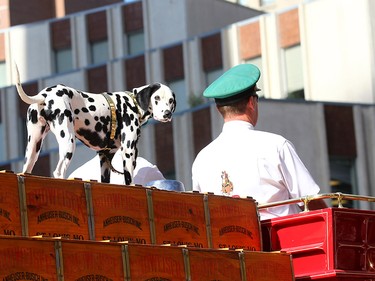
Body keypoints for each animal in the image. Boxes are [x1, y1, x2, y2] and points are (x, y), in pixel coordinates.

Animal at [15, 65, 177, 184]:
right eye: (156, 98)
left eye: (170, 101)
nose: (167, 114)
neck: (133, 103)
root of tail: (44, 95)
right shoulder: (129, 150)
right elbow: (129, 180)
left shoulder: (105, 157)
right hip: (68, 142)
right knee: (59, 171)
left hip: (33, 148)